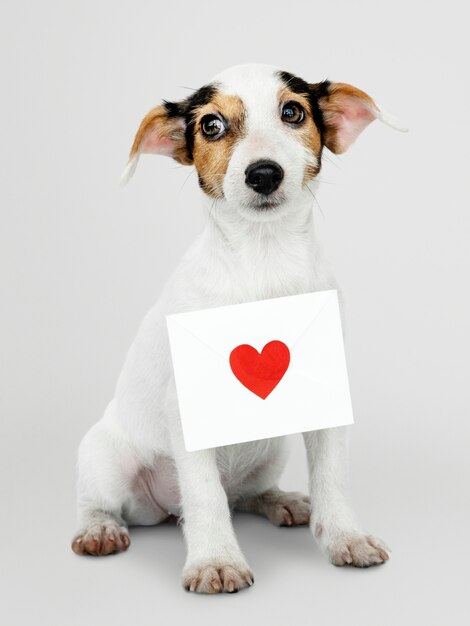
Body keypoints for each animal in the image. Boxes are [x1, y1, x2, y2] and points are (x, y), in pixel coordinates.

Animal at [70, 62, 404, 588]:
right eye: (211, 125)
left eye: (293, 112)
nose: (264, 173)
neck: (264, 257)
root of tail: (163, 511)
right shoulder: (186, 407)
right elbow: (203, 494)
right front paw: (215, 559)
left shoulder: (327, 390)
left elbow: (332, 476)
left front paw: (345, 536)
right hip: (105, 460)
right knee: (107, 501)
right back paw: (100, 528)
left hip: (270, 452)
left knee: (241, 495)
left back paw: (281, 501)